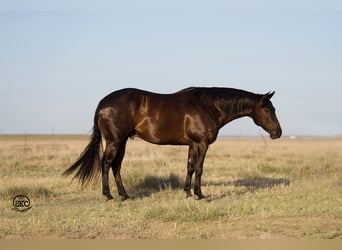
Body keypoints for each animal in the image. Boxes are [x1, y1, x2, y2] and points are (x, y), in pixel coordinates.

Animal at [62, 87, 282, 200]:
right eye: (267, 109)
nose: (278, 133)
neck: (208, 106)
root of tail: (102, 103)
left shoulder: (193, 144)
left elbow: (190, 167)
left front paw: (187, 192)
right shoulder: (201, 143)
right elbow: (199, 168)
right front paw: (200, 195)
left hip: (122, 142)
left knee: (116, 166)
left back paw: (125, 195)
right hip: (115, 141)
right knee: (106, 164)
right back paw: (108, 195)